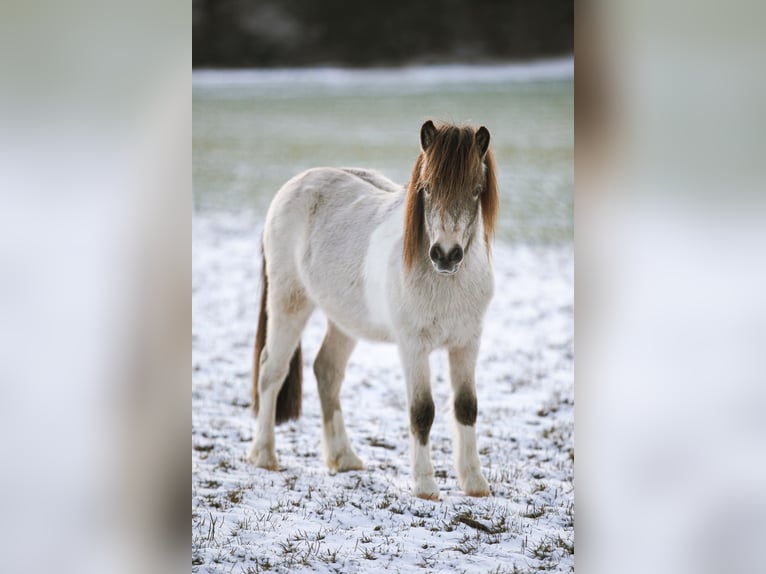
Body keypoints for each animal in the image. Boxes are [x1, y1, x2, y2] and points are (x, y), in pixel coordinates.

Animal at [246, 120, 498, 500]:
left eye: (476, 190)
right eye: (426, 188)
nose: (446, 255)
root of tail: (295, 184)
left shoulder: (467, 344)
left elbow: (467, 406)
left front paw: (474, 483)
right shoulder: (413, 347)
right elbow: (422, 411)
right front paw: (425, 485)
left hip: (344, 321)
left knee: (327, 371)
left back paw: (344, 458)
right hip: (289, 303)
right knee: (271, 371)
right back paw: (264, 455)